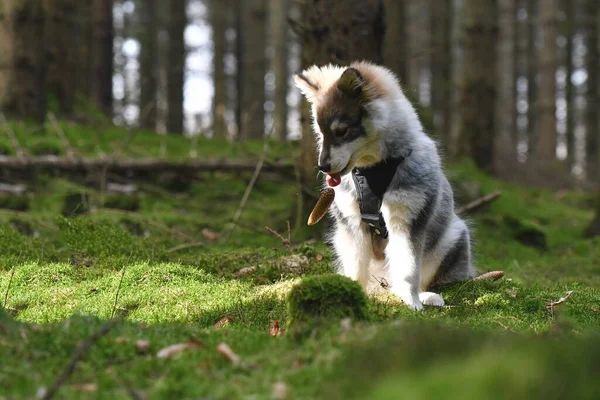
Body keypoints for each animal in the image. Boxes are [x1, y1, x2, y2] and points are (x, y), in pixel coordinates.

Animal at [292, 61, 476, 312]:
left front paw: (412, 303)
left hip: (454, 237)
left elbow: (408, 268)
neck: (374, 169)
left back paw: (426, 296)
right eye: (320, 132)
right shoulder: (353, 224)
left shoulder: (406, 221)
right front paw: (353, 292)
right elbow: (357, 267)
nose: (323, 167)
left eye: (341, 131)